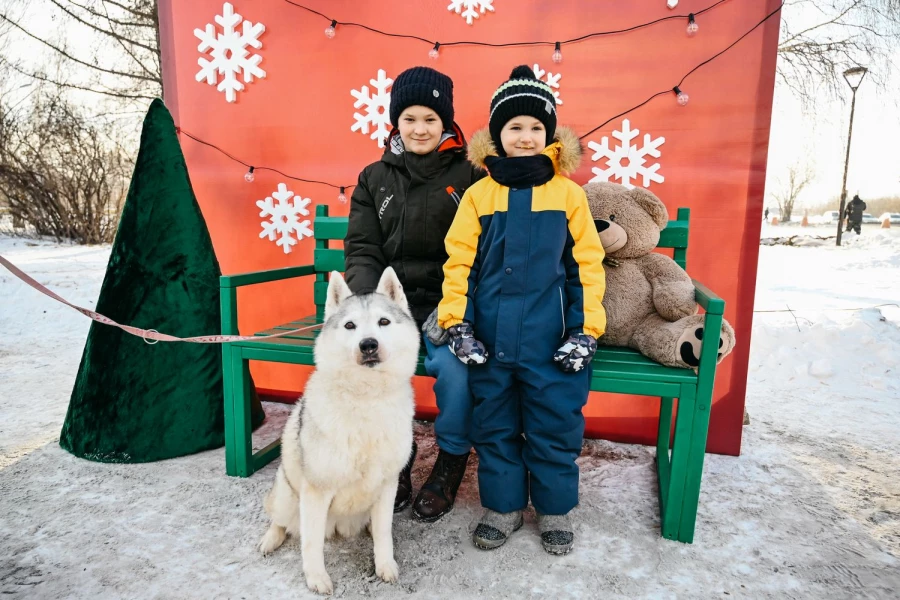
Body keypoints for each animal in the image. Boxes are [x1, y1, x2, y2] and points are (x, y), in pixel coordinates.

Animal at [256, 268, 418, 596]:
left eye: (384, 322)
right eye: (350, 325)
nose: (368, 344)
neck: (366, 398)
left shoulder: (388, 485)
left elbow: (384, 532)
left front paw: (385, 564)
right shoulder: (317, 492)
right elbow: (311, 543)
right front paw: (316, 577)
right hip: (288, 496)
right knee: (281, 521)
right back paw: (271, 539)